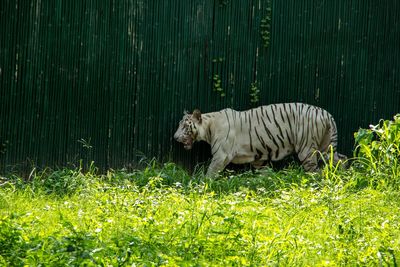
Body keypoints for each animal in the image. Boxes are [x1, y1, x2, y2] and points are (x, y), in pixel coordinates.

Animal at [175, 103, 346, 177]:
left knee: (315, 171)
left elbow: (210, 173)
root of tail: (327, 114)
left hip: (307, 149)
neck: (209, 125)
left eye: (185, 126)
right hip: (326, 147)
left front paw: (202, 185)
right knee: (341, 159)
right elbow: (264, 172)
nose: (175, 137)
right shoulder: (258, 157)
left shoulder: (220, 156)